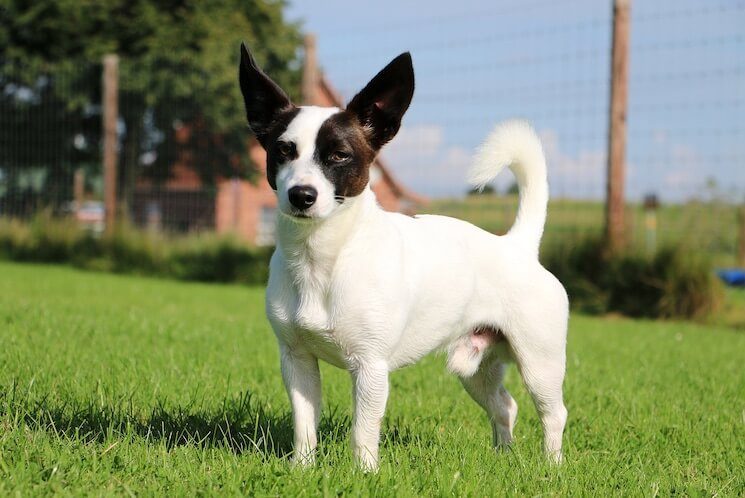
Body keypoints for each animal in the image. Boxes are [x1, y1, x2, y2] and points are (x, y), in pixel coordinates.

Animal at [241, 43, 568, 470]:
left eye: (340, 156)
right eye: (282, 150)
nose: (302, 195)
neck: (325, 258)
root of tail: (517, 245)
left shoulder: (371, 368)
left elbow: (363, 432)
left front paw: (363, 473)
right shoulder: (296, 362)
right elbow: (305, 426)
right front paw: (302, 468)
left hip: (540, 362)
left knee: (553, 413)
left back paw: (553, 467)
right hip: (476, 367)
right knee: (505, 406)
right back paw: (504, 455)